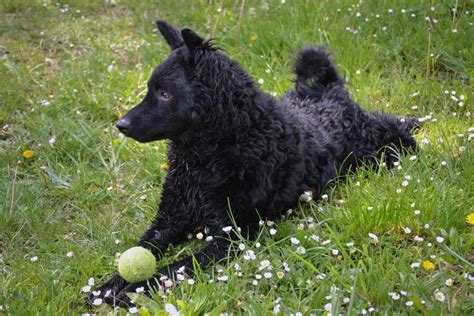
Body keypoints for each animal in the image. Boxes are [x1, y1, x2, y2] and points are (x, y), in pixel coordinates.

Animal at [87, 19, 416, 306]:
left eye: (165, 94)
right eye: (149, 89)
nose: (121, 125)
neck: (210, 155)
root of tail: (327, 88)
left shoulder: (229, 238)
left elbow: (173, 268)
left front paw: (134, 289)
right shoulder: (169, 219)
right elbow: (142, 249)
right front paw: (108, 286)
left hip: (377, 143)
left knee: (394, 128)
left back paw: (413, 128)